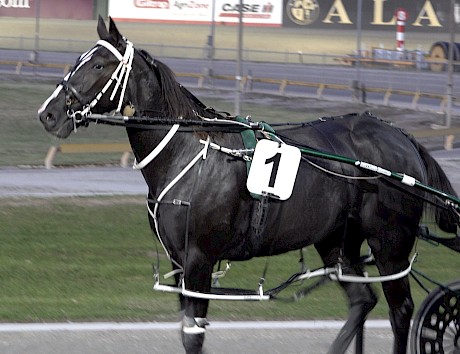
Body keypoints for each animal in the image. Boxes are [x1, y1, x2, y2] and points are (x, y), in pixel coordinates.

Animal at [38, 18, 456, 352]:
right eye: (79, 60)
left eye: (98, 64)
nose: (49, 113)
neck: (187, 150)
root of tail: (402, 136)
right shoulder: (178, 261)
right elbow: (186, 330)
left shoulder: (199, 259)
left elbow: (194, 334)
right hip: (337, 241)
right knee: (362, 301)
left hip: (389, 244)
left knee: (400, 310)